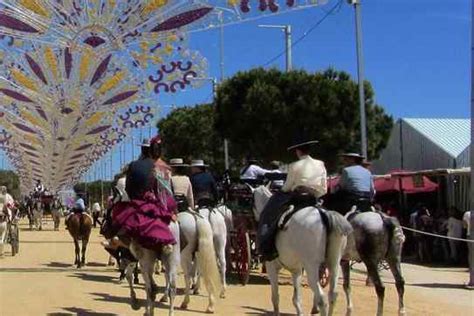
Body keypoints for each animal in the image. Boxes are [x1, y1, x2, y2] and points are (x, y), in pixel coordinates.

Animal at [252, 186, 352, 314]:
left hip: (312, 267)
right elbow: (296, 298)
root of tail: (324, 213)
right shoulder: (296, 270)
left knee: (321, 298)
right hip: (335, 263)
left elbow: (275, 297)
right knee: (333, 295)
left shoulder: (271, 266)